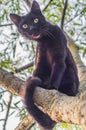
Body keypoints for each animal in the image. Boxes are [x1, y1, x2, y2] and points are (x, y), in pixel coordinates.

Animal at [9, 0, 79, 129]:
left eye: (36, 20)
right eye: (25, 26)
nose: (32, 28)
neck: (45, 40)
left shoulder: (58, 58)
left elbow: (56, 73)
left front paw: (50, 87)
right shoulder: (40, 61)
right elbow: (37, 73)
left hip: (70, 73)